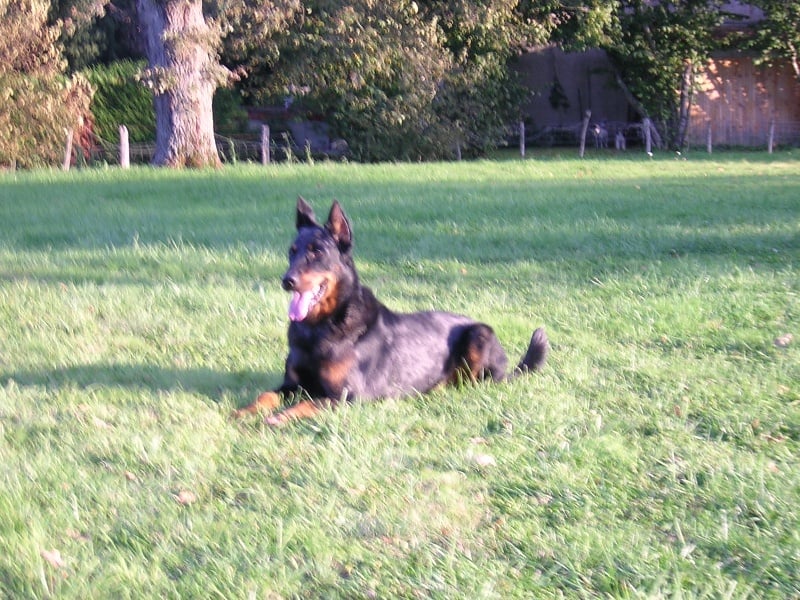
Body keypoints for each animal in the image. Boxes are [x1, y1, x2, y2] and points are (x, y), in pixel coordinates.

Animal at [228, 199, 548, 424]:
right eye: (292, 251)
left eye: (317, 252)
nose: (287, 280)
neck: (321, 327)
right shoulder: (291, 384)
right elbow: (266, 394)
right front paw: (244, 411)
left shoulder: (347, 396)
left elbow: (307, 403)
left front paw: (280, 417)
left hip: (478, 335)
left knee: (476, 384)